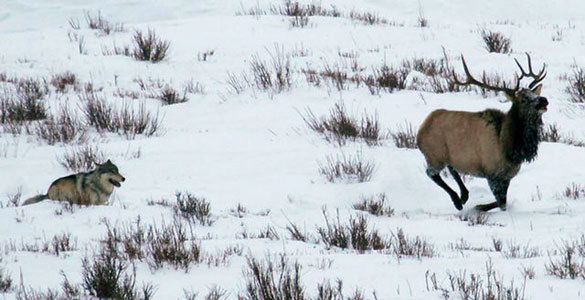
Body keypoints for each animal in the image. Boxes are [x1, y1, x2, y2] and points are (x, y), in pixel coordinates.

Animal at [416, 54, 548, 212]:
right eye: (523, 99)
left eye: (533, 93)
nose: (543, 100)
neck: (511, 148)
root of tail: (421, 129)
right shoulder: (492, 175)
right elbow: (502, 204)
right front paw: (479, 207)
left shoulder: (507, 177)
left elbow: (502, 203)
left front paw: (480, 206)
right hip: (434, 155)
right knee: (432, 173)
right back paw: (457, 201)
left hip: (448, 156)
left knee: (452, 168)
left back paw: (464, 196)